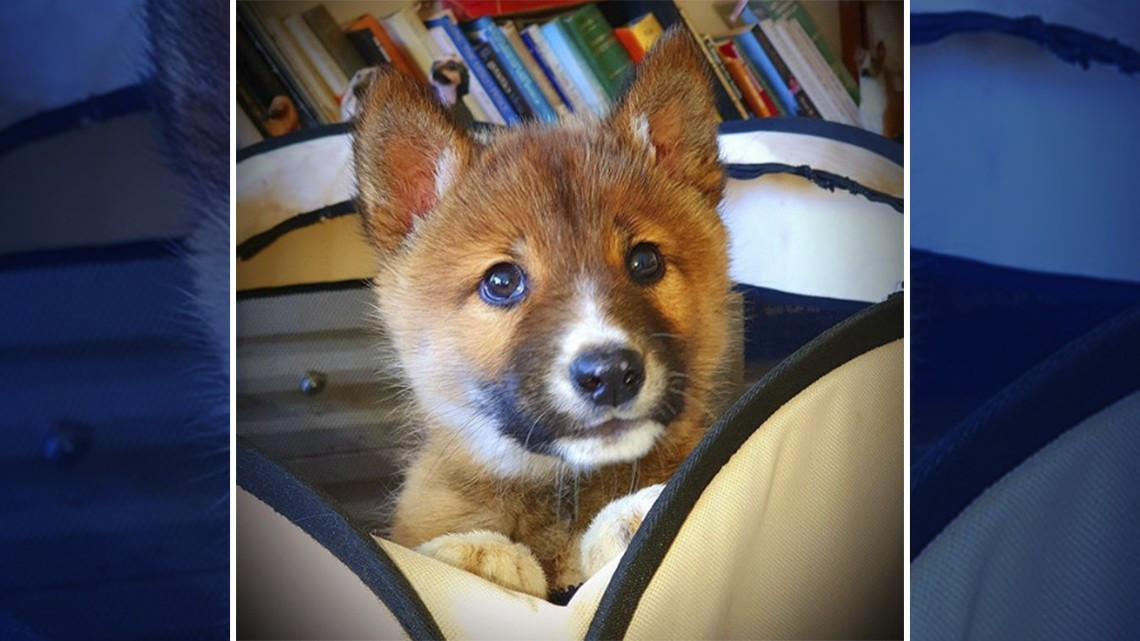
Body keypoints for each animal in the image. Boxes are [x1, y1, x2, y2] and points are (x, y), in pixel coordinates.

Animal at [353, 28, 732, 599]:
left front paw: (629, 518)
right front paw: (479, 553)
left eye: (645, 261)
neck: (558, 491)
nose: (611, 375)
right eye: (501, 282)